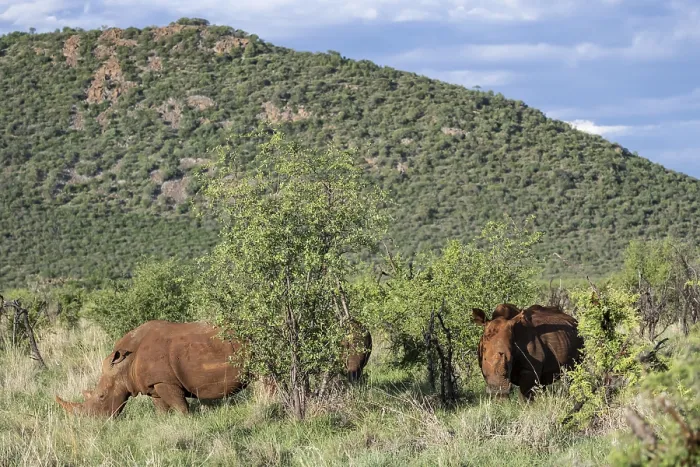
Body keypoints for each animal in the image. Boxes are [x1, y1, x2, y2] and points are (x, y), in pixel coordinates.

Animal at [55, 320, 247, 417]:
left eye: (102, 396)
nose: (91, 423)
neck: (124, 366)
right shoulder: (153, 385)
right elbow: (161, 410)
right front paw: (165, 424)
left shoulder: (165, 381)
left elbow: (180, 407)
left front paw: (186, 421)